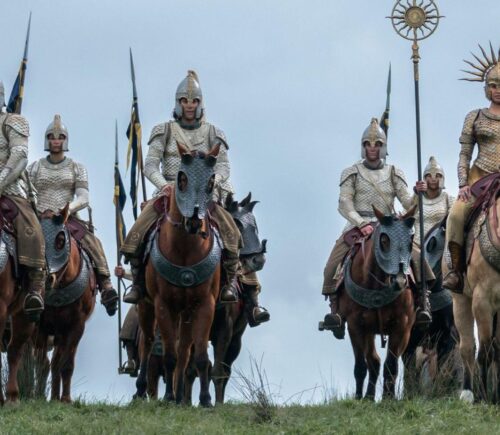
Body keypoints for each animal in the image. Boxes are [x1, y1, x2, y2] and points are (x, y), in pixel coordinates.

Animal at [33, 206, 96, 404]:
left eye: (60, 241)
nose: (45, 278)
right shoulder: (40, 326)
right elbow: (42, 363)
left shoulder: (75, 327)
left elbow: (66, 364)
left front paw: (66, 399)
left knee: (58, 362)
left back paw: (56, 396)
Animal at [138, 144, 222, 408]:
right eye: (182, 179)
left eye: (211, 181)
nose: (194, 220)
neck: (185, 249)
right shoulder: (163, 305)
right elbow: (169, 355)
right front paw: (167, 397)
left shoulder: (205, 305)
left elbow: (200, 357)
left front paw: (205, 400)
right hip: (146, 305)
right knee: (146, 343)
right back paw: (141, 391)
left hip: (186, 313)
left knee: (185, 350)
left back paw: (181, 397)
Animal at [336, 206, 418, 400]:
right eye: (384, 239)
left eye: (411, 239)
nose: (400, 281)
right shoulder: (356, 325)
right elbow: (362, 365)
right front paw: (360, 397)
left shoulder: (402, 327)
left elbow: (391, 365)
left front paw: (389, 398)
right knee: (373, 361)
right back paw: (368, 395)